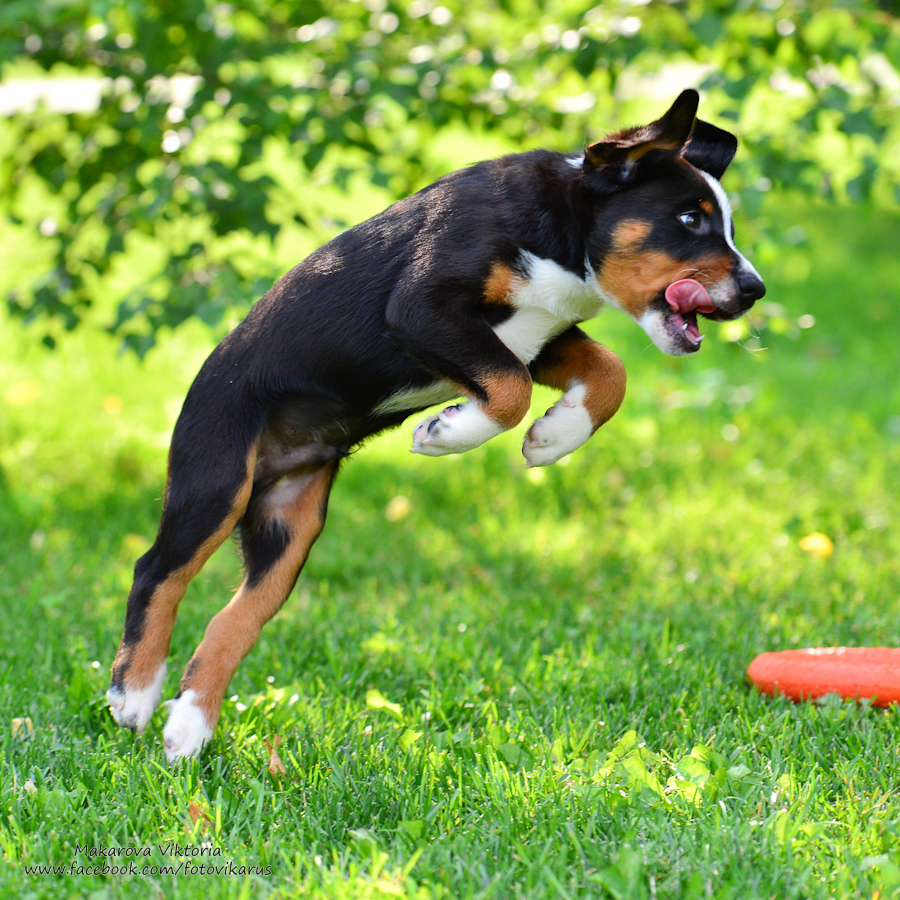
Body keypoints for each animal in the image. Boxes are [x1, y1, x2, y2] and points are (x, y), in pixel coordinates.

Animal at [107, 89, 768, 760]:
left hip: (289, 527)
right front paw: (450, 432)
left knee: (235, 618)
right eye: (689, 220)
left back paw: (189, 724)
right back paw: (134, 693)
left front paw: (553, 438)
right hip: (216, 480)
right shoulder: (425, 309)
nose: (754, 288)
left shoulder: (537, 336)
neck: (561, 237)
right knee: (156, 570)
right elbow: (511, 390)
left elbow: (608, 373)